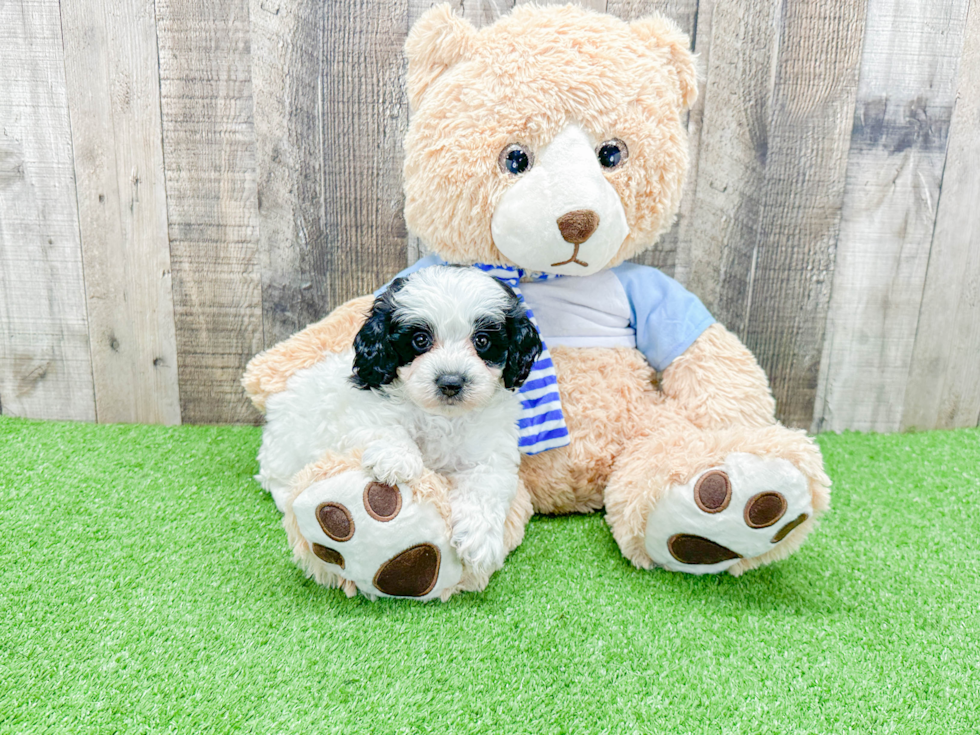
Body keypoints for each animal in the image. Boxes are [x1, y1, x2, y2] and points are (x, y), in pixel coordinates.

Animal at [255, 268, 544, 576]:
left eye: (482, 341)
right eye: (420, 340)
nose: (451, 382)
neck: (443, 417)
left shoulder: (492, 451)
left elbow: (486, 486)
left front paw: (479, 538)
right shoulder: (360, 413)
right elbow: (385, 426)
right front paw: (396, 459)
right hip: (287, 444)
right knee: (274, 477)